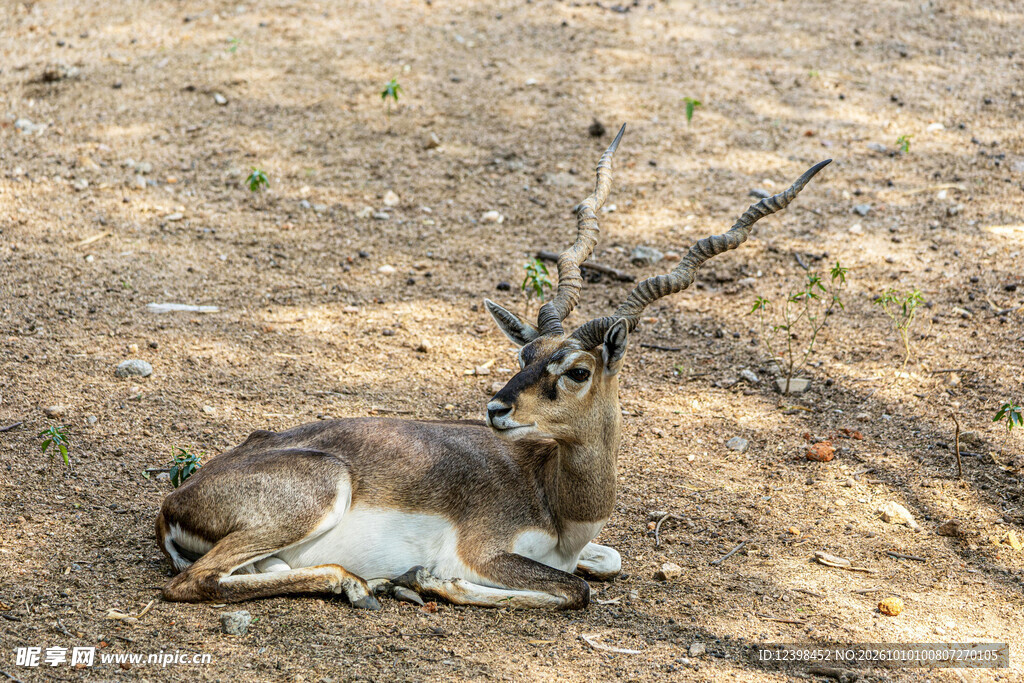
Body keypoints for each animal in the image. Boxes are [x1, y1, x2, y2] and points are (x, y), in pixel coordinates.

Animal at [155, 124, 830, 610]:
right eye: (525, 355)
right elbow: (574, 591)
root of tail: (177, 499)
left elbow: (603, 566)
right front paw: (430, 581)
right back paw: (363, 583)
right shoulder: (486, 551)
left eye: (575, 369)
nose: (497, 408)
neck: (559, 502)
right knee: (194, 582)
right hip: (319, 492)